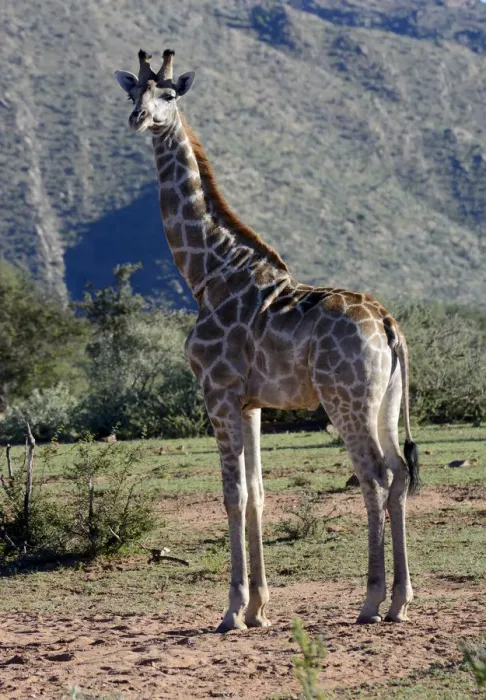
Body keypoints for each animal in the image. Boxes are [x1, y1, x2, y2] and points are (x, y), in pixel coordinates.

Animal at [115, 49, 419, 632]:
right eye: (133, 92)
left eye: (170, 94)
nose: (138, 119)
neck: (208, 275)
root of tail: (389, 326)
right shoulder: (251, 401)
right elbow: (256, 492)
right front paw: (259, 608)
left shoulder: (217, 392)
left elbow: (233, 494)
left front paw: (232, 610)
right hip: (387, 403)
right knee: (397, 472)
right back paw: (400, 599)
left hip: (346, 399)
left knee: (372, 475)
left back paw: (370, 601)